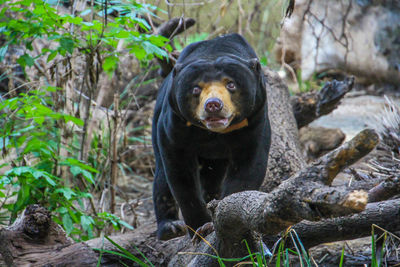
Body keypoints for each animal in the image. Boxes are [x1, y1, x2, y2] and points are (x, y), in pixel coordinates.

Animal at [153, 33, 272, 241]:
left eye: (231, 84)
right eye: (196, 89)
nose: (213, 105)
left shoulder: (255, 117)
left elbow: (249, 165)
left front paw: (226, 217)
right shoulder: (175, 123)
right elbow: (180, 173)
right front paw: (201, 227)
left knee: (213, 179)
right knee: (161, 179)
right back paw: (170, 228)